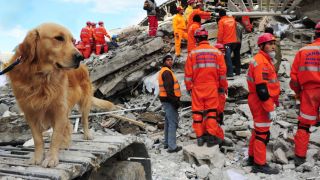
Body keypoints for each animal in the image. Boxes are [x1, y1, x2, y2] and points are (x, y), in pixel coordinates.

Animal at [5, 22, 115, 167]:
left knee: (84, 120)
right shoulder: (30, 113)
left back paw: (86, 135)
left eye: (73, 41)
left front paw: (51, 158)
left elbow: (55, 137)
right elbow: (38, 139)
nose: (80, 57)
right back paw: (66, 143)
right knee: (68, 125)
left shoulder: (59, 109)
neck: (41, 78)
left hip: (84, 102)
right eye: (59, 38)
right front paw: (37, 157)